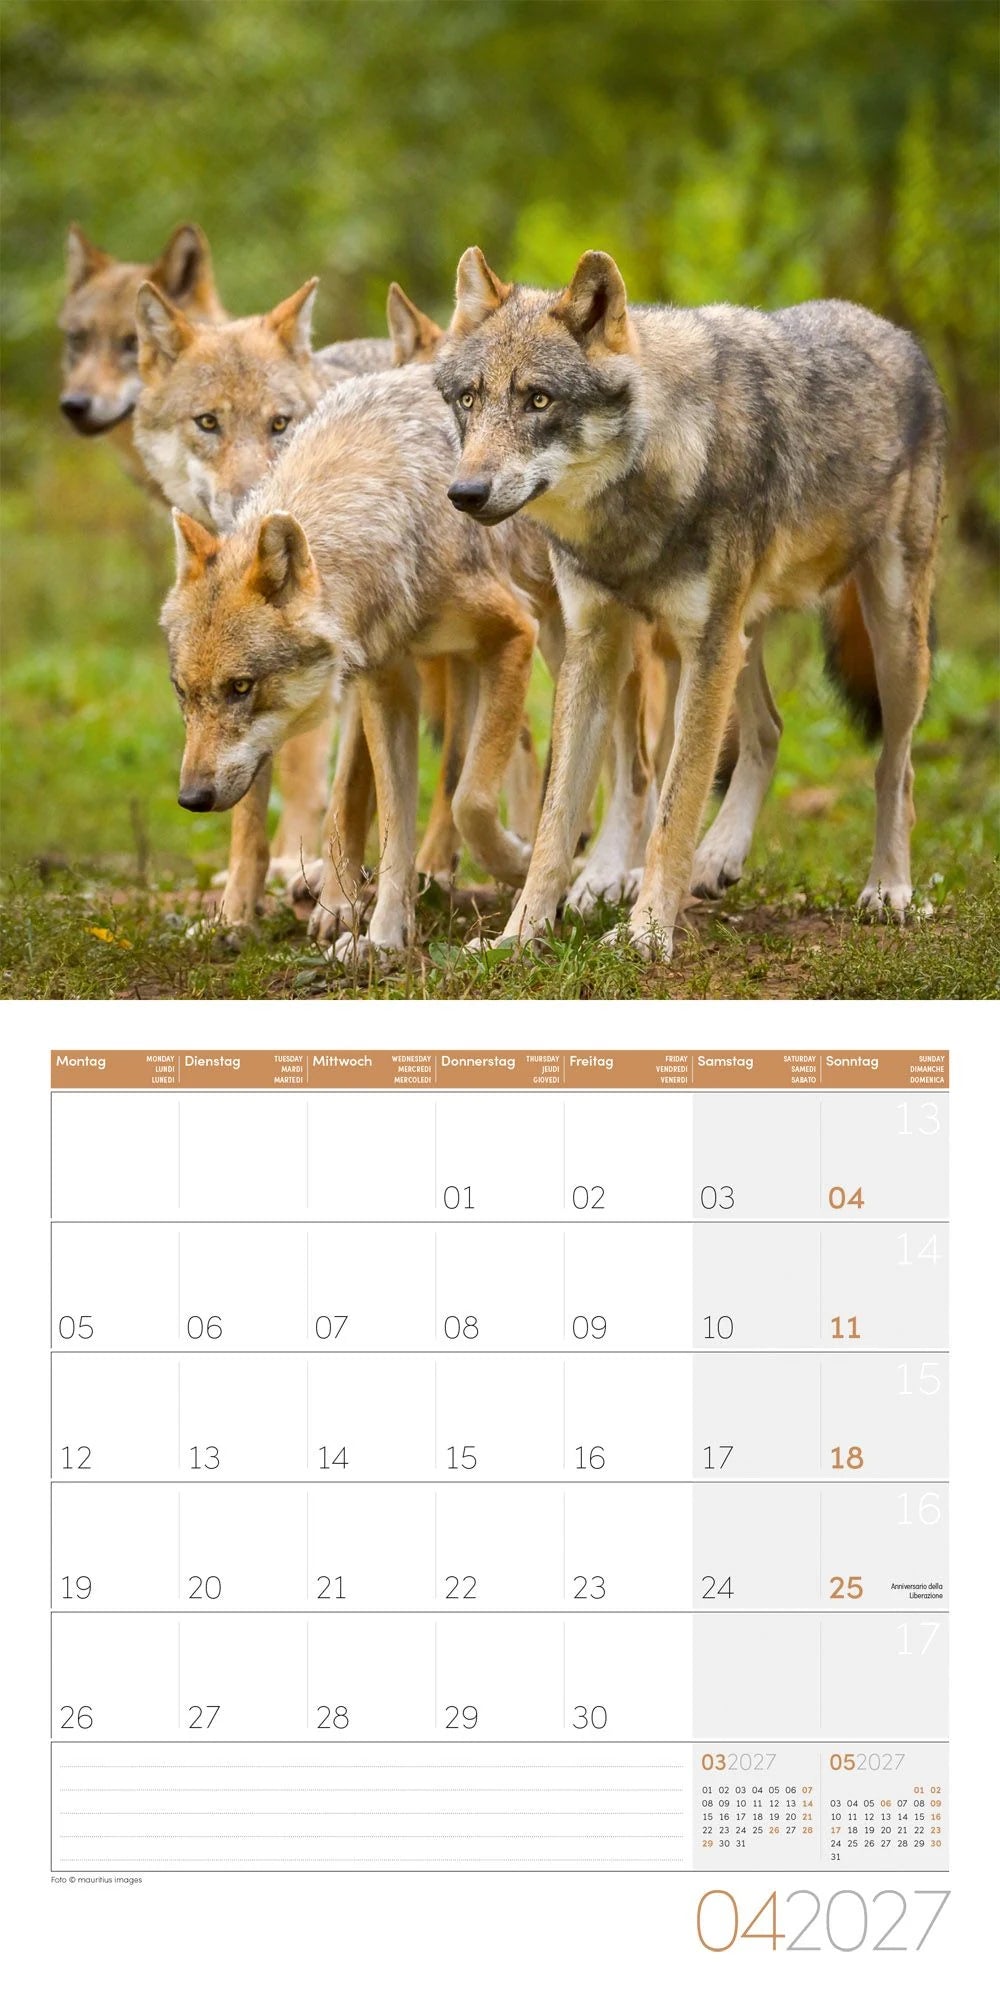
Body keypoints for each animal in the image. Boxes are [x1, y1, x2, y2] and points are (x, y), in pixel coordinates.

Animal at [160, 369, 544, 954]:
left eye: (242, 687)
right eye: (183, 692)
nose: (191, 798)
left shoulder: (513, 633)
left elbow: (468, 801)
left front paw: (517, 861)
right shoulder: (385, 680)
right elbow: (393, 825)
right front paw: (382, 938)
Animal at [435, 248, 946, 957]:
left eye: (539, 399)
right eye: (469, 399)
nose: (465, 493)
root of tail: (896, 333)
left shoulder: (704, 650)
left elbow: (673, 812)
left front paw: (647, 933)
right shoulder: (596, 647)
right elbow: (556, 822)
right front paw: (519, 937)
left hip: (887, 639)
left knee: (896, 768)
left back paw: (889, 888)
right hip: (738, 640)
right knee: (770, 731)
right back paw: (720, 856)